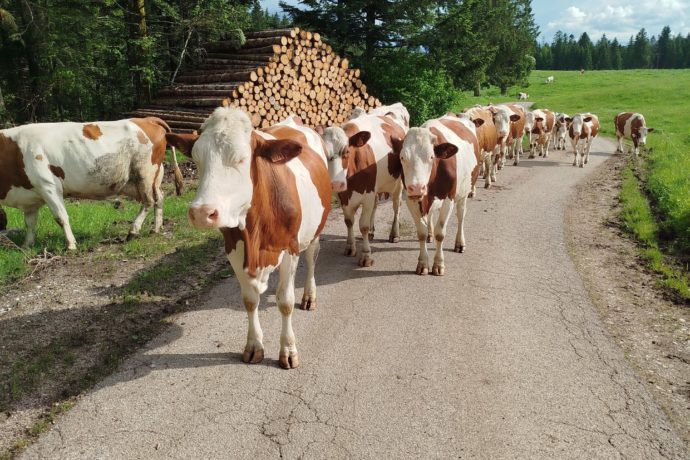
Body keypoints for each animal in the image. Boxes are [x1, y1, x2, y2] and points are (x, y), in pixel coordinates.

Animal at [0, 117, 183, 250]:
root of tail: (147, 119)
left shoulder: (48, 186)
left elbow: (61, 217)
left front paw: (71, 245)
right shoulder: (30, 196)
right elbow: (30, 223)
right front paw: (26, 246)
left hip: (144, 172)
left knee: (148, 201)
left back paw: (133, 231)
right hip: (154, 176)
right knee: (159, 198)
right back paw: (155, 228)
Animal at [166, 108, 331, 369]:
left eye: (242, 159)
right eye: (197, 159)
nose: (201, 212)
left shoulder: (289, 249)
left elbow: (285, 301)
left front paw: (288, 350)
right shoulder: (233, 249)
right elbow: (250, 300)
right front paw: (254, 346)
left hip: (313, 231)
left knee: (312, 258)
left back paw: (309, 296)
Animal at [319, 110, 407, 266]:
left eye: (347, 152)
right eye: (324, 152)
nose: (336, 184)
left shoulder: (367, 196)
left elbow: (363, 226)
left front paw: (366, 256)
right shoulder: (343, 197)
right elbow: (349, 222)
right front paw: (350, 247)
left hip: (397, 184)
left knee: (396, 207)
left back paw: (394, 234)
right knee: (376, 206)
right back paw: (372, 232)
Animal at [399, 114, 479, 276]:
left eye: (431, 157)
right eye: (402, 157)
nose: (416, 188)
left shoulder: (448, 199)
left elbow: (440, 233)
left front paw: (438, 264)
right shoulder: (411, 200)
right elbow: (421, 232)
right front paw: (423, 263)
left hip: (464, 193)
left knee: (461, 215)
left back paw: (460, 243)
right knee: (430, 216)